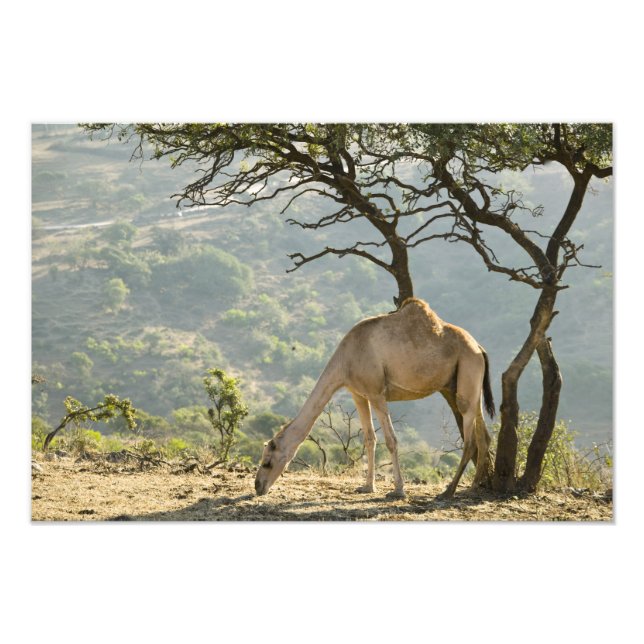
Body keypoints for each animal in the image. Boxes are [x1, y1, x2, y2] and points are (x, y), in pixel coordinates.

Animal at [254, 297, 495, 499]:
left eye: (267, 461)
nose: (258, 486)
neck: (346, 361)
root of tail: (480, 348)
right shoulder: (359, 394)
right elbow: (370, 439)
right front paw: (367, 486)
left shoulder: (377, 392)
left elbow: (391, 440)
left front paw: (398, 490)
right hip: (462, 385)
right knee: (483, 435)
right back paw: (473, 488)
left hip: (467, 371)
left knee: (470, 440)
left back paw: (449, 491)